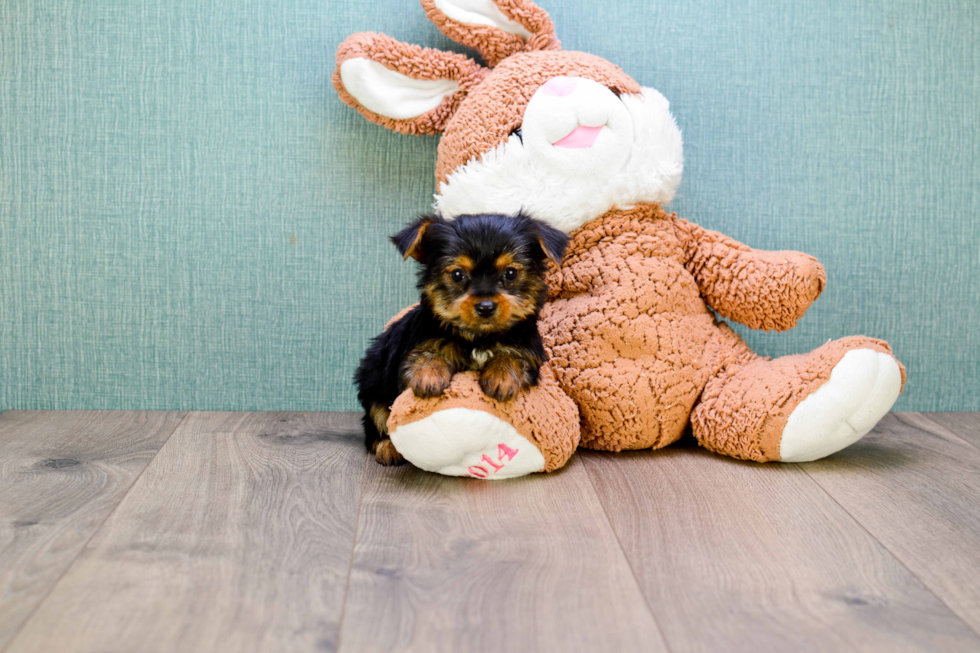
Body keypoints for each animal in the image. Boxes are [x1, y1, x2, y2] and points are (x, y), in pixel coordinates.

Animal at [354, 213, 568, 464]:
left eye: (511, 273)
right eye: (457, 275)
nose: (486, 306)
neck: (478, 338)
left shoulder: (528, 349)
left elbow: (513, 356)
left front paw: (502, 376)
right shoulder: (418, 343)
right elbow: (427, 353)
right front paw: (429, 375)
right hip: (373, 382)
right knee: (376, 419)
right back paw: (387, 447)